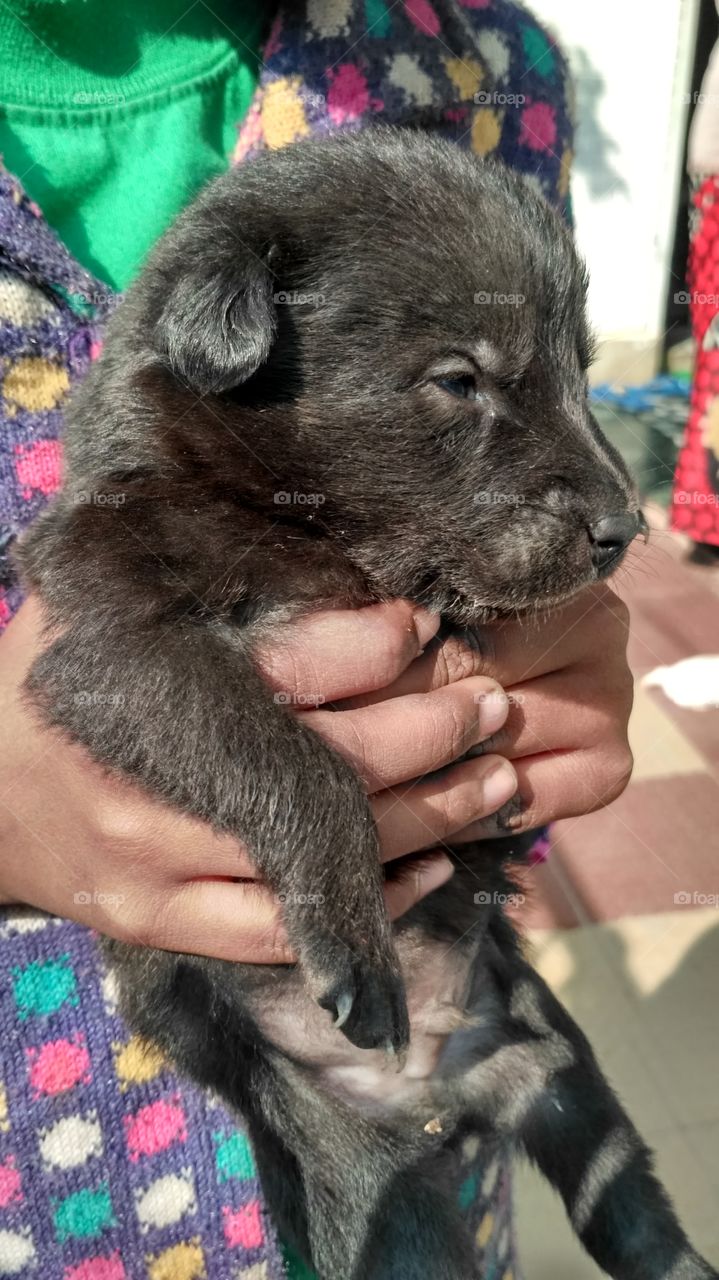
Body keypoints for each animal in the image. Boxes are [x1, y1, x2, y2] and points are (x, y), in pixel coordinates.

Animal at [18, 129, 716, 1280]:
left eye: (579, 367)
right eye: (458, 378)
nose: (625, 531)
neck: (303, 528)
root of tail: (438, 1097)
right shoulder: (118, 646)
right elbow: (289, 758)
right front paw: (351, 933)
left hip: (553, 1062)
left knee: (626, 1196)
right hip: (363, 1179)